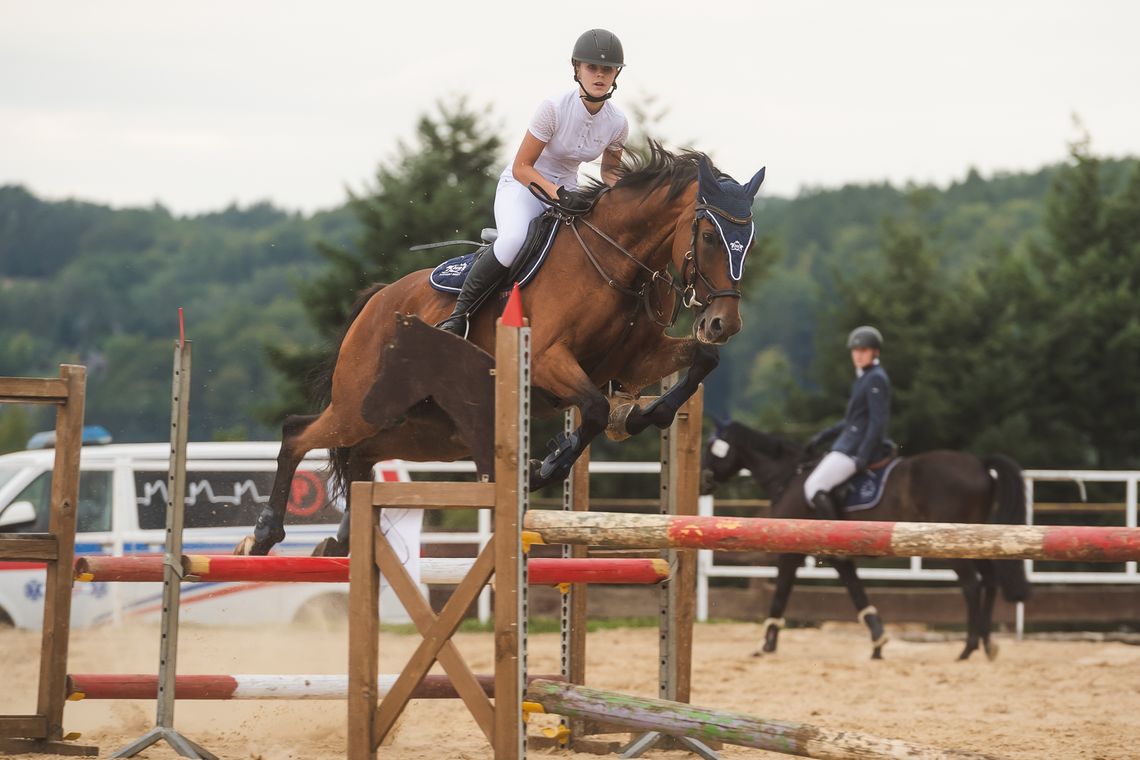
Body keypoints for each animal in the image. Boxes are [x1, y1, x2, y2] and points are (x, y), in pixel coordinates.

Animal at [233, 144, 766, 558]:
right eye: (709, 235)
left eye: (749, 240)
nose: (724, 323)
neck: (614, 262)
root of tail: (378, 300)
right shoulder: (548, 361)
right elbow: (593, 408)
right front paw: (546, 464)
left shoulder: (636, 361)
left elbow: (702, 361)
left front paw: (641, 415)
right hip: (360, 405)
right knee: (298, 433)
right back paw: (262, 535)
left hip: (432, 432)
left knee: (362, 455)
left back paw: (342, 542)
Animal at [697, 419, 1030, 660]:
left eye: (713, 447)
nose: (703, 482)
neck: (789, 476)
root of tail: (978, 463)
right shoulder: (839, 558)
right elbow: (857, 593)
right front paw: (878, 642)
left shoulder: (791, 551)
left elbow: (780, 594)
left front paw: (766, 644)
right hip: (977, 540)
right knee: (989, 581)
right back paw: (986, 645)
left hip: (951, 543)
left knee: (971, 585)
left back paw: (968, 647)